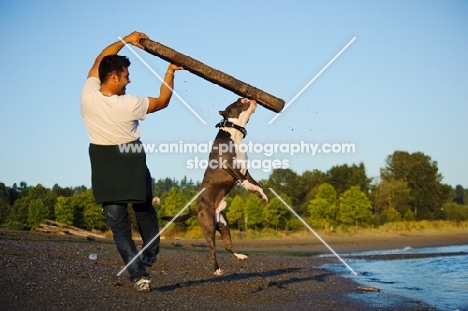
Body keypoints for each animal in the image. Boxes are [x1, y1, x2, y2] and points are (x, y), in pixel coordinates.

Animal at [163, 98, 268, 276]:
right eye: (241, 100)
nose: (252, 98)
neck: (234, 135)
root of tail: (197, 208)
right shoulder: (230, 165)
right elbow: (244, 181)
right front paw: (251, 189)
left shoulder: (245, 169)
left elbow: (256, 183)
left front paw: (261, 194)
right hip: (209, 226)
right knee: (212, 249)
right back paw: (217, 270)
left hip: (224, 225)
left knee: (227, 245)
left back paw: (240, 256)